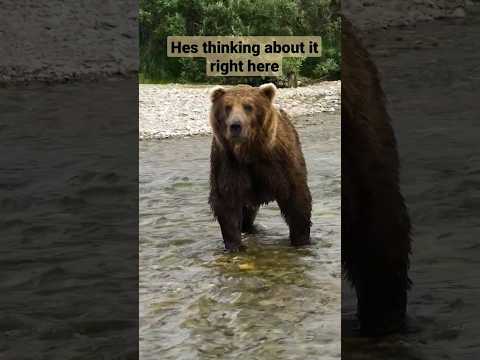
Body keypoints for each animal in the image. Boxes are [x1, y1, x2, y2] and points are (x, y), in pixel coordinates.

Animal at [209, 83, 312, 252]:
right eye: (227, 107)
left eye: (248, 106)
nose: (235, 126)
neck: (250, 151)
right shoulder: (229, 162)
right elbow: (227, 201)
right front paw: (234, 245)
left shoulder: (280, 162)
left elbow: (296, 197)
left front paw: (301, 240)